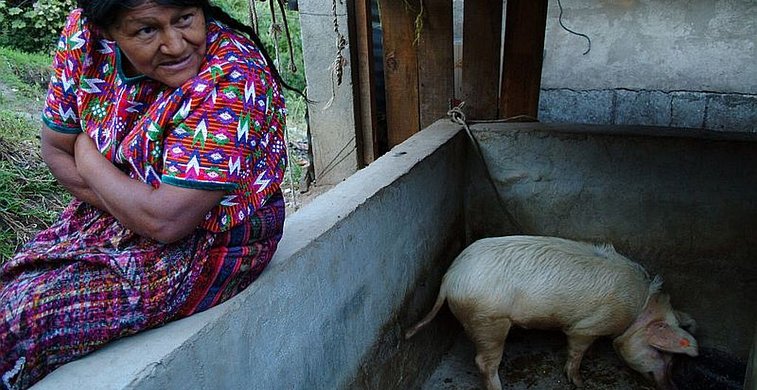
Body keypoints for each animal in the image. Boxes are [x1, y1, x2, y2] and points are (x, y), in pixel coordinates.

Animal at [404, 235, 700, 390]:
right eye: (664, 354)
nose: (672, 387)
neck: (638, 310)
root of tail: (450, 276)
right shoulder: (588, 326)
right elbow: (577, 351)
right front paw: (579, 382)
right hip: (487, 319)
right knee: (483, 362)